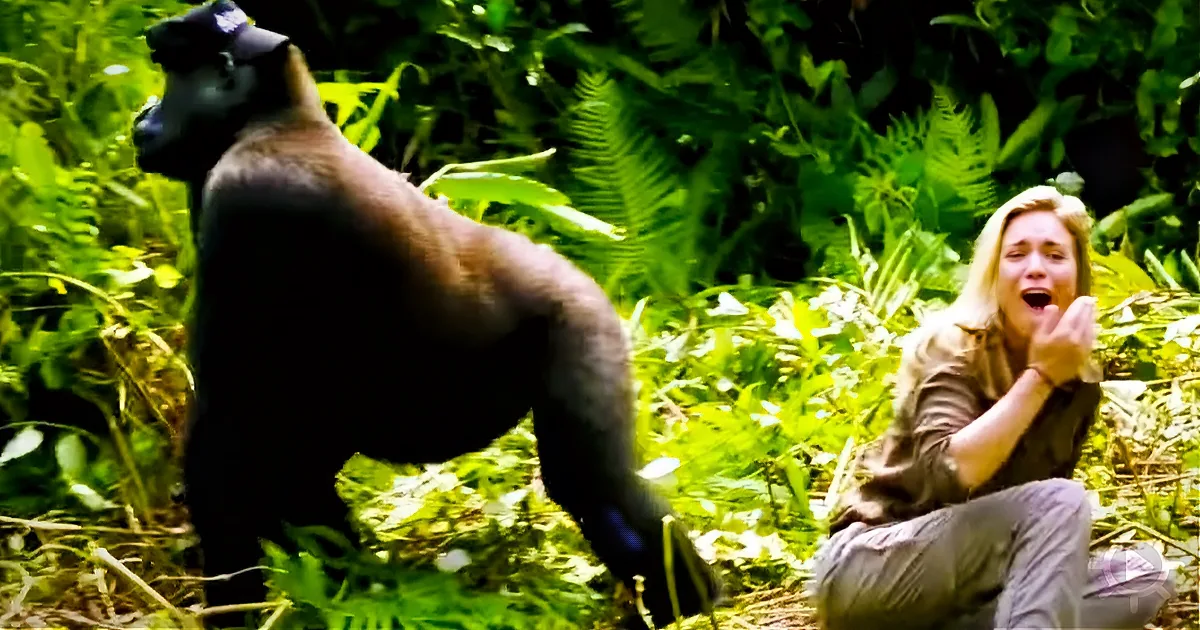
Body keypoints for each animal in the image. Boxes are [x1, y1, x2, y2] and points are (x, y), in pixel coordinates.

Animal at [131, 2, 723, 627]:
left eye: (172, 78)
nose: (145, 113)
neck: (277, 117)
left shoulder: (245, 204)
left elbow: (222, 448)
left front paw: (233, 602)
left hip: (583, 323)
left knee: (594, 483)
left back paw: (691, 600)